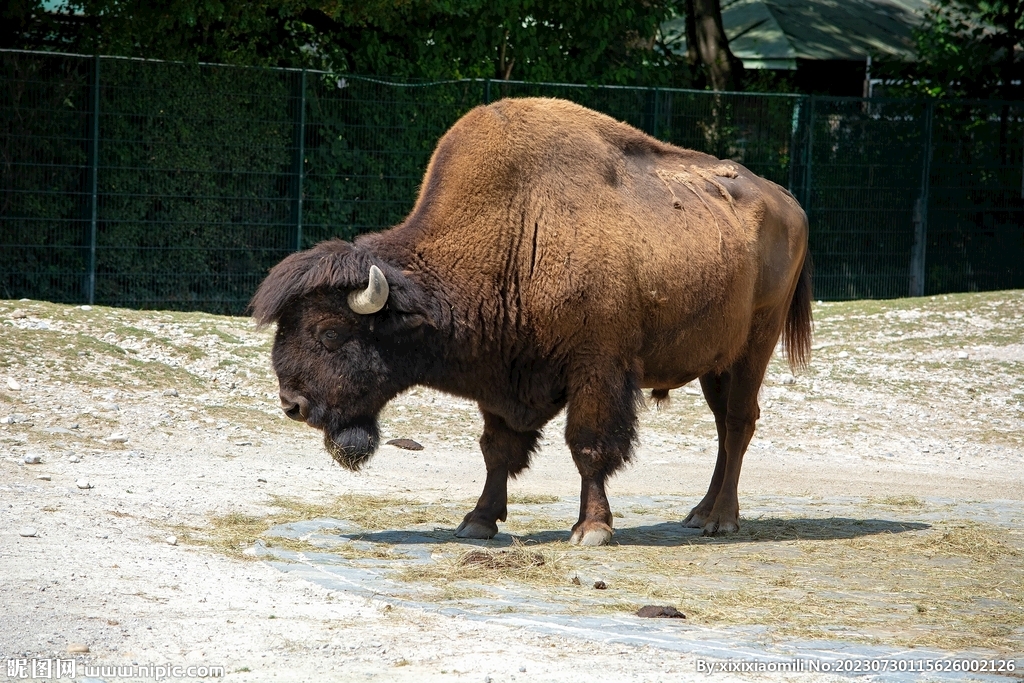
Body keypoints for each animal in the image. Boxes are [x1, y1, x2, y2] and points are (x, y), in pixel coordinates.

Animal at [251, 97, 811, 544]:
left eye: (329, 333)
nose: (293, 404)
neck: (516, 232)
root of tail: (790, 202)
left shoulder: (597, 370)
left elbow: (588, 447)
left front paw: (591, 530)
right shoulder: (501, 377)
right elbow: (497, 450)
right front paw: (477, 522)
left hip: (755, 345)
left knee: (737, 423)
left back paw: (721, 520)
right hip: (716, 361)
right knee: (722, 428)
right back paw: (698, 513)